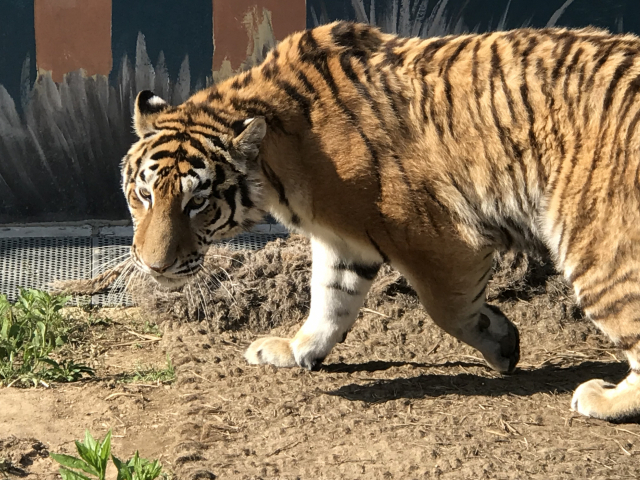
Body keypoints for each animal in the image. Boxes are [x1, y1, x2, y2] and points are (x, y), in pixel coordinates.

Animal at [120, 20, 640, 422]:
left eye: (197, 202)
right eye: (144, 195)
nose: (154, 266)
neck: (277, 157)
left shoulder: (438, 238)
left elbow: (448, 309)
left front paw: (502, 343)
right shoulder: (342, 240)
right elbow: (328, 300)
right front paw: (297, 350)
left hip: (598, 249)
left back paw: (604, 399)